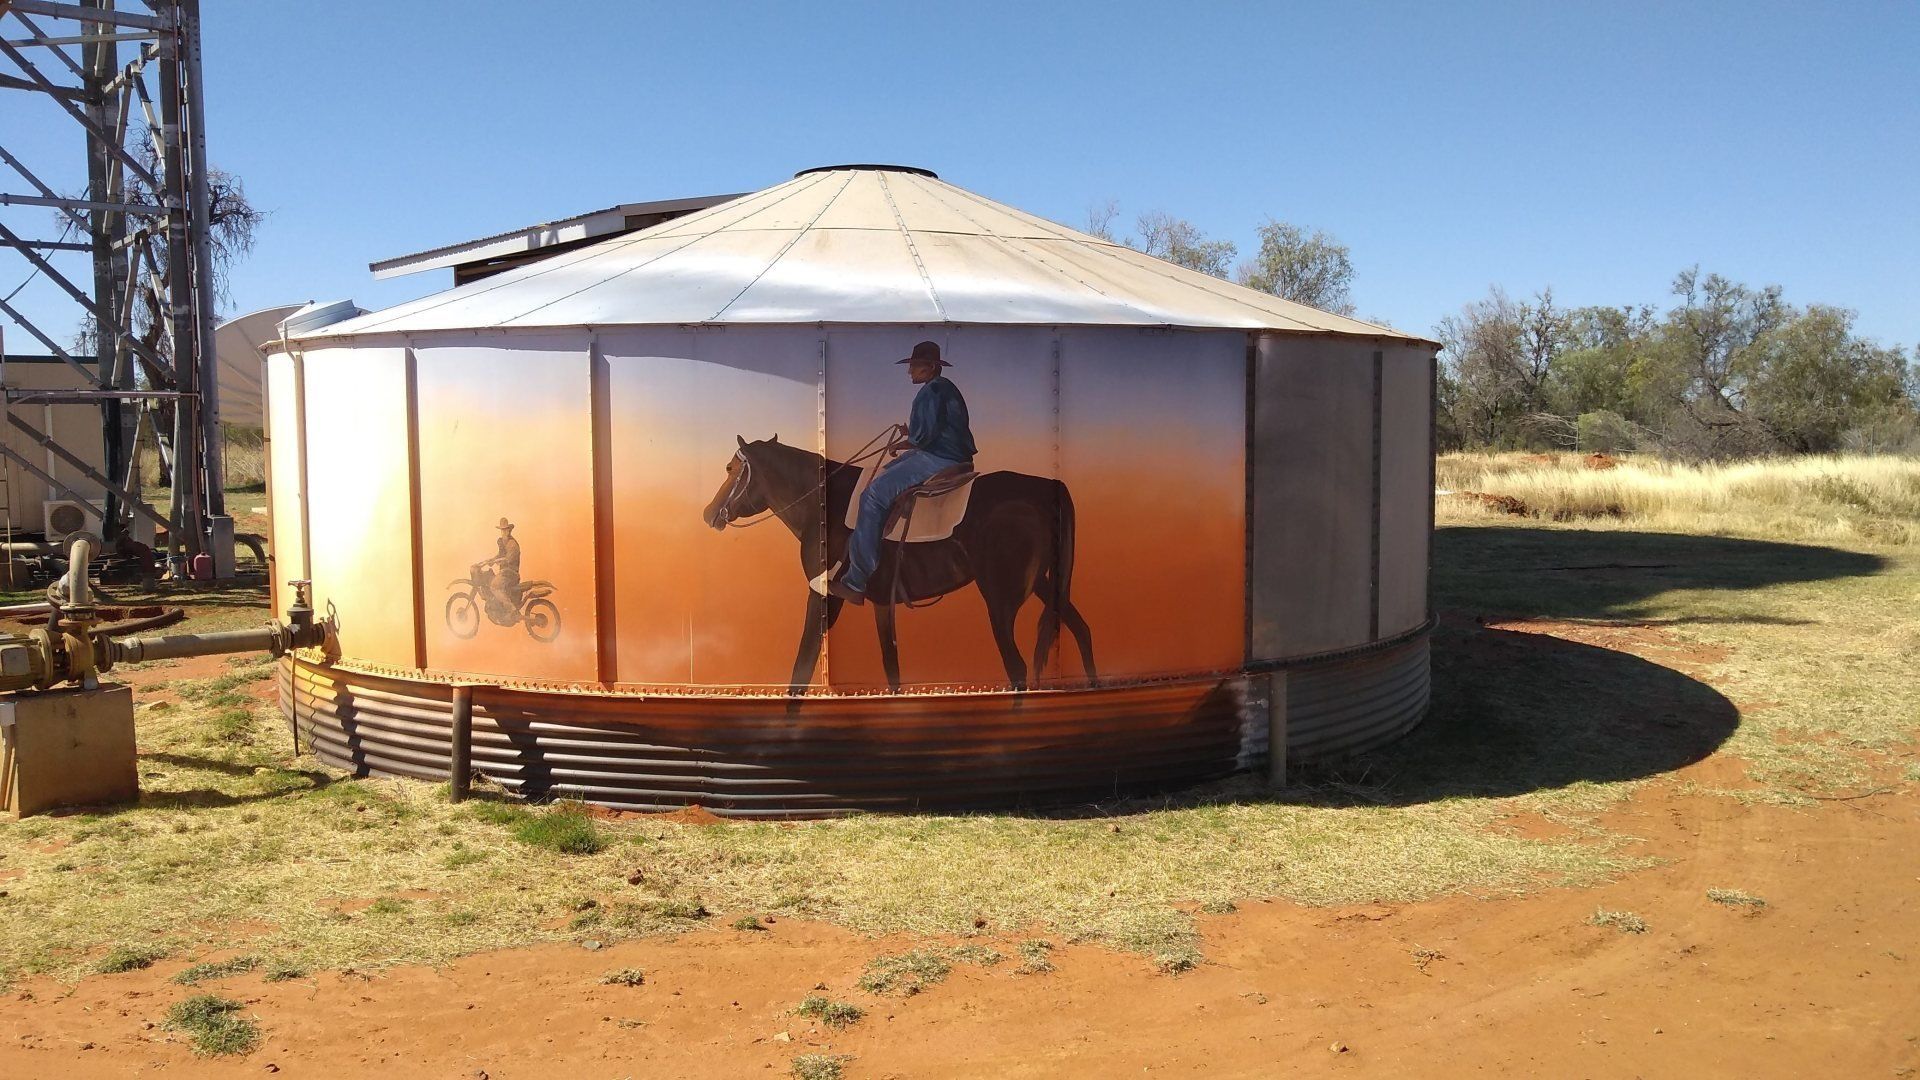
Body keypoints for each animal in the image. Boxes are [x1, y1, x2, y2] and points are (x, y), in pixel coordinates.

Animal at [702, 434, 1098, 691]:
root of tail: (1047, 487)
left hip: (1000, 600)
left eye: (730, 468)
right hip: (1047, 585)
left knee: (1016, 667)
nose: (709, 513)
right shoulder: (881, 603)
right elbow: (891, 670)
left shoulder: (823, 596)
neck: (823, 505)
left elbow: (801, 667)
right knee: (1081, 630)